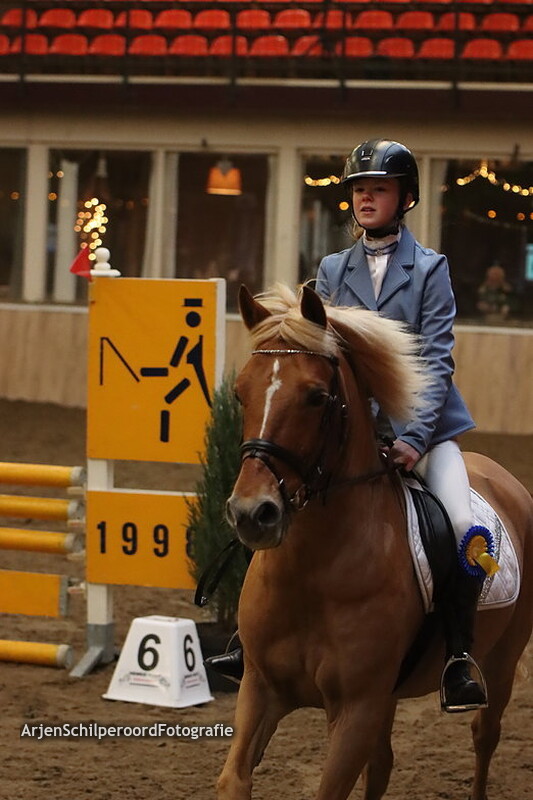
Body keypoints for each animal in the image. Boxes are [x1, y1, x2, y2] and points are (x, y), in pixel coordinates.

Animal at [217, 283, 533, 800]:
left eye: (316, 397)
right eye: (241, 393)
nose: (251, 513)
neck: (311, 572)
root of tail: (504, 477)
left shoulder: (356, 710)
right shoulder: (260, 689)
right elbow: (234, 778)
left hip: (501, 660)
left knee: (484, 736)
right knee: (383, 765)